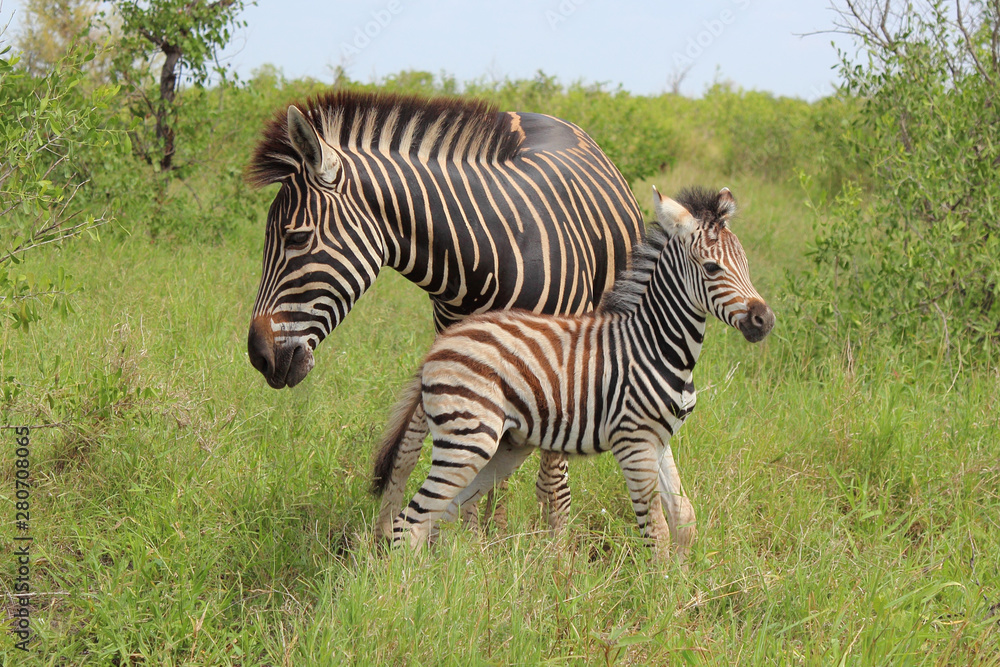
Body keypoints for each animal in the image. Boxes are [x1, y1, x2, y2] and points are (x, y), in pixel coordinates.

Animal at [244, 91, 644, 538]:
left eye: (297, 238)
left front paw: (556, 550)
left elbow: (551, 480)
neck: (487, 253)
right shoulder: (460, 354)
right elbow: (428, 453)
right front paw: (467, 544)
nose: (258, 355)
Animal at [372, 185, 775, 561]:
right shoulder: (634, 443)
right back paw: (408, 586)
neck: (656, 345)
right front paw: (659, 588)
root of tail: (440, 345)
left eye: (745, 263)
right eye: (712, 268)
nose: (764, 321)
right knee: (410, 525)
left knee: (436, 517)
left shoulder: (660, 440)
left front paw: (682, 579)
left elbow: (685, 519)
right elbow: (657, 533)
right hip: (469, 439)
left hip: (503, 448)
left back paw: (454, 577)